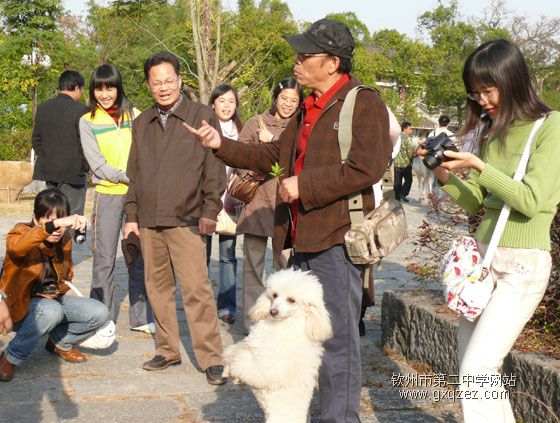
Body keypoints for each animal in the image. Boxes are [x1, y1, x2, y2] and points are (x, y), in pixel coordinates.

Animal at [223, 270, 332, 422]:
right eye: (274, 295)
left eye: (291, 300)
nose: (273, 312)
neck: (285, 324)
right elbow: (235, 351)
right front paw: (228, 371)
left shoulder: (267, 368)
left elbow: (242, 362)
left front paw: (234, 370)